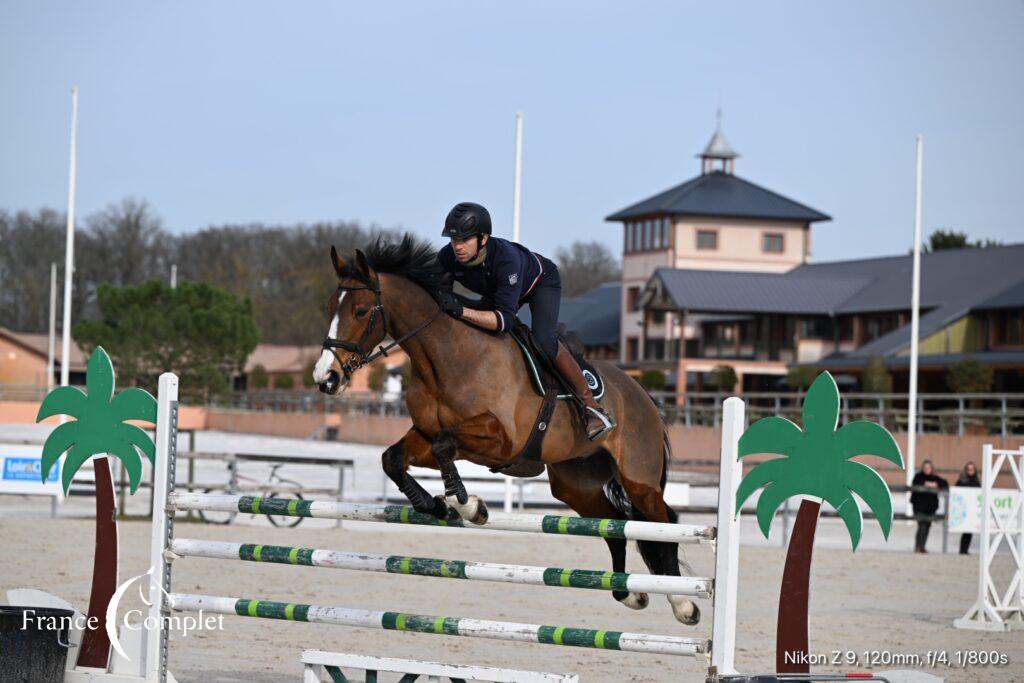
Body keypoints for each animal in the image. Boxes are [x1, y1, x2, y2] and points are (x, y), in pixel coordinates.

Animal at [307, 235, 700, 626]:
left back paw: (684, 603)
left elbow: (445, 447)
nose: (326, 378)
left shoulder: (500, 441)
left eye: (360, 311)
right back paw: (629, 593)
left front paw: (466, 505)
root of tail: (643, 394)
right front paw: (439, 506)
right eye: (328, 307)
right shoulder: (426, 433)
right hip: (575, 483)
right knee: (616, 524)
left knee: (663, 523)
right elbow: (395, 459)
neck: (446, 358)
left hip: (639, 479)